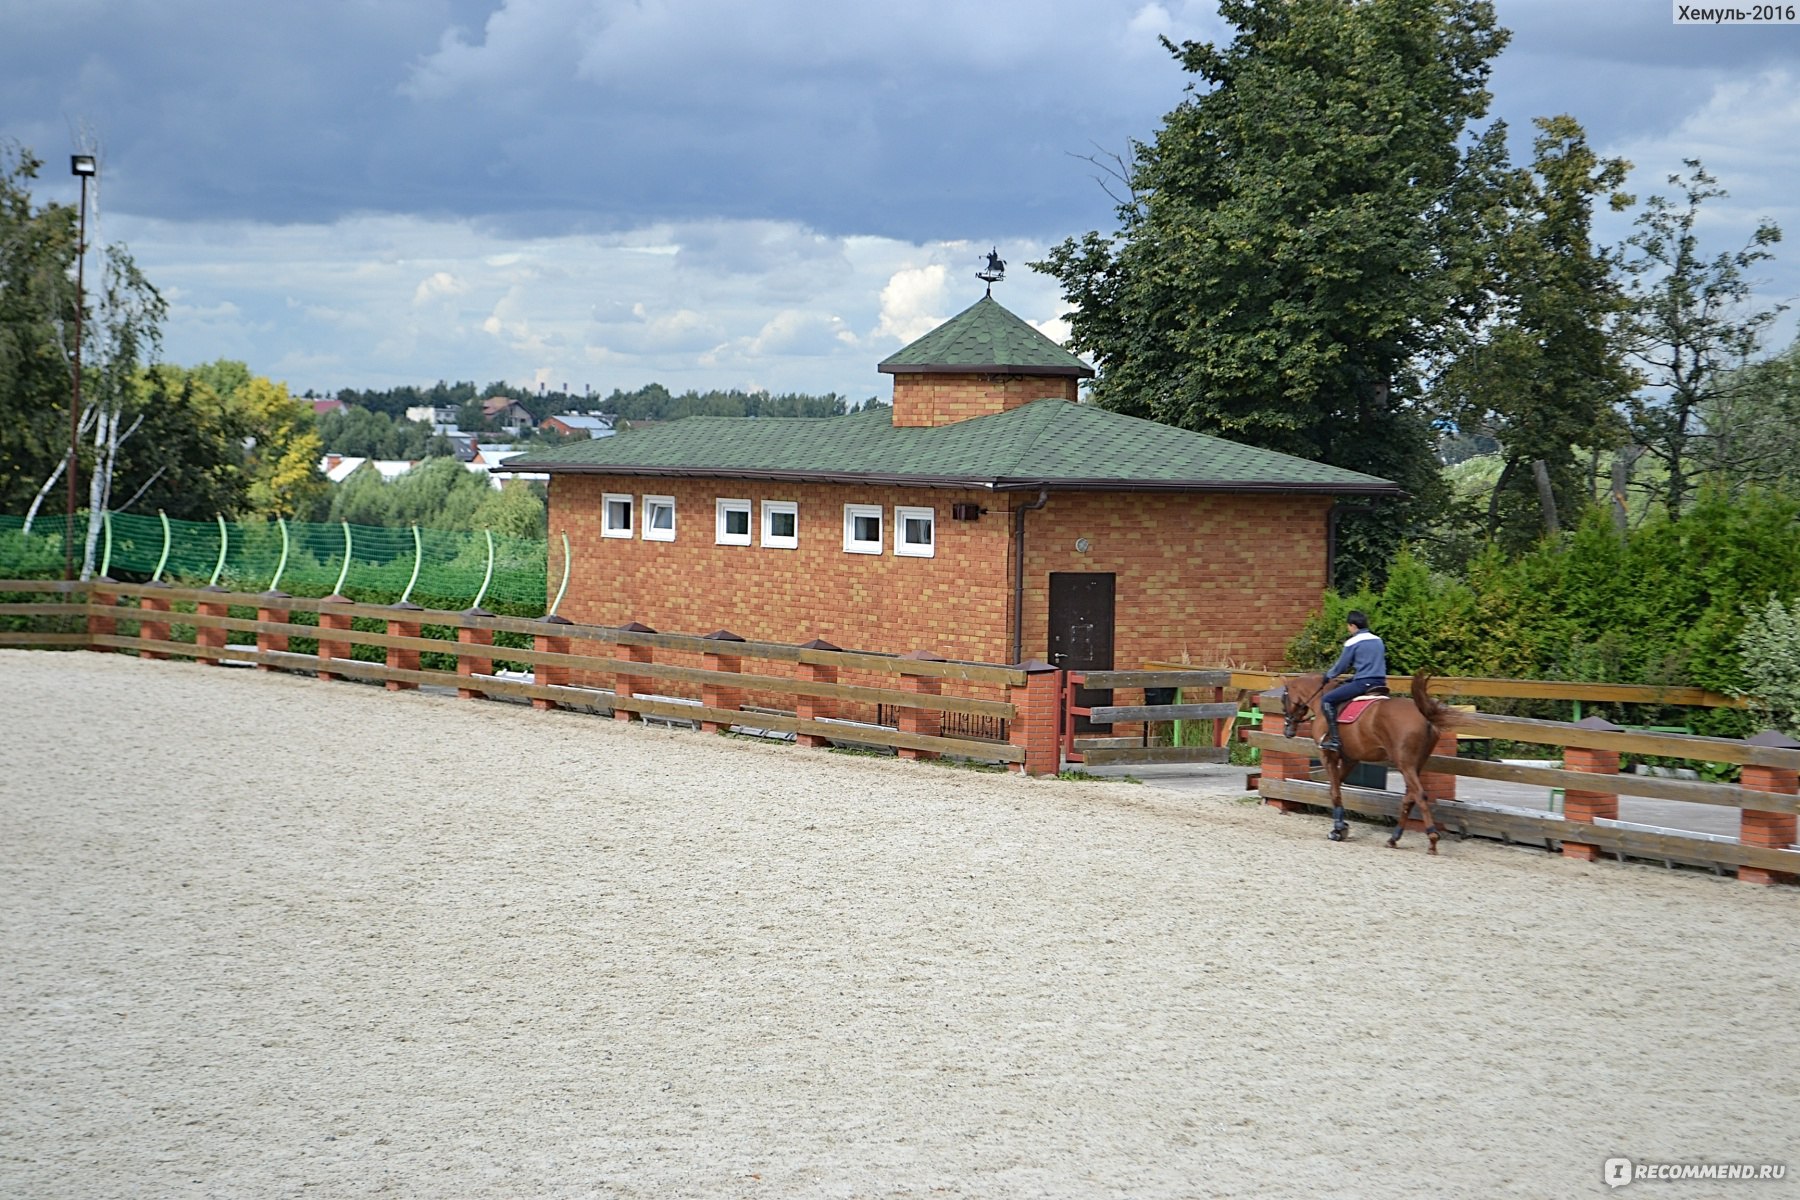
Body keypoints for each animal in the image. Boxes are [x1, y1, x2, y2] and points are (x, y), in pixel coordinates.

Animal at [1281, 665, 1461, 852]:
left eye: (1283, 699)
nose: (1288, 731)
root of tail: (1425, 715)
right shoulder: (1350, 759)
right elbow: (1337, 787)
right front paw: (1341, 827)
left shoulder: (1328, 755)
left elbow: (1334, 791)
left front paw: (1338, 830)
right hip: (1415, 765)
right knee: (1410, 798)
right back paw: (1394, 838)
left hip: (1405, 765)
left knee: (1419, 795)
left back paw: (1432, 839)